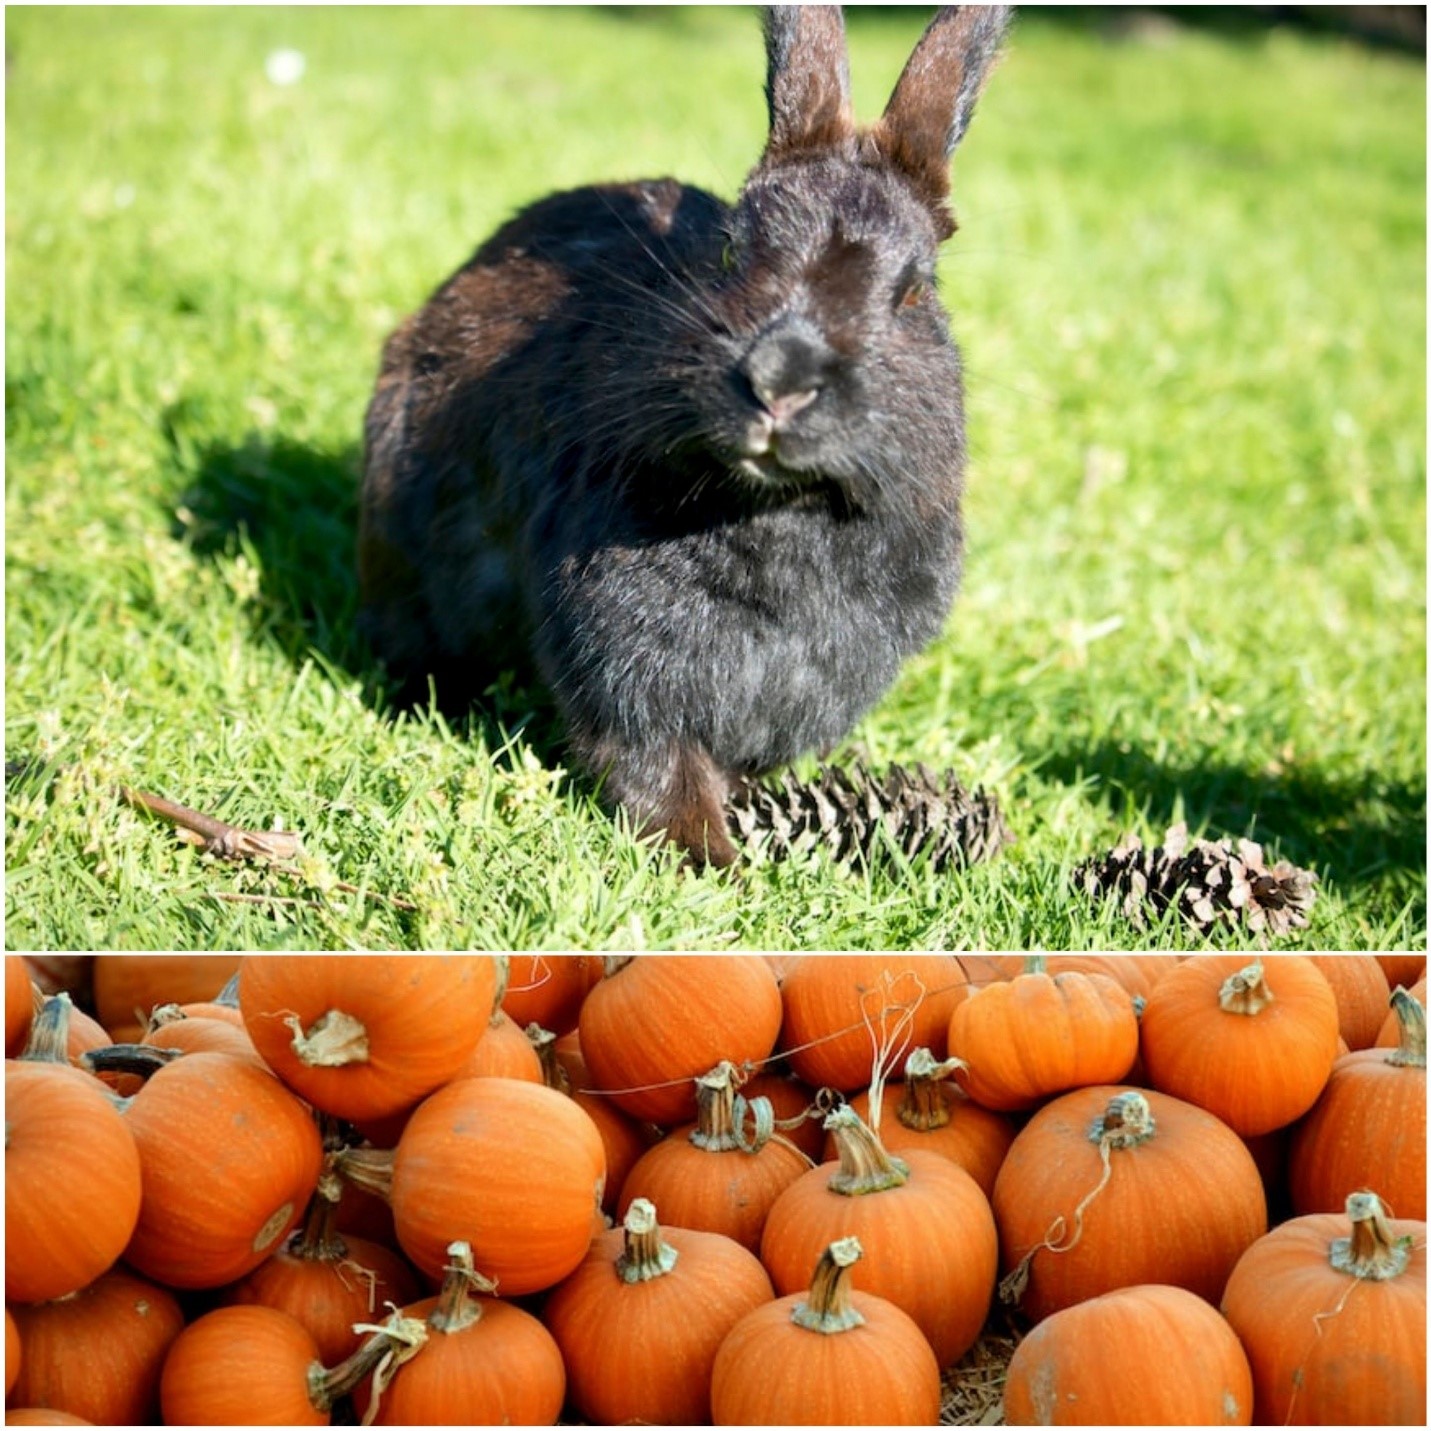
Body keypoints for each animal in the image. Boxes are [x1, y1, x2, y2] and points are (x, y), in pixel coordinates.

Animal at [359, 5, 1010, 867]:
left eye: (912, 291)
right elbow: (655, 768)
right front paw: (708, 861)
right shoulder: (626, 674)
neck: (775, 511)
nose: (779, 379)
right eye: (732, 251)